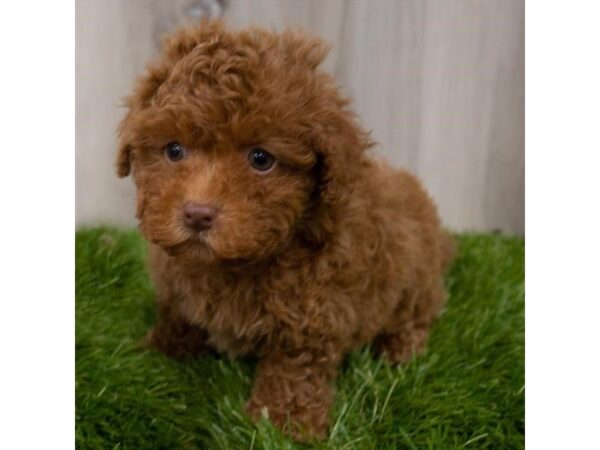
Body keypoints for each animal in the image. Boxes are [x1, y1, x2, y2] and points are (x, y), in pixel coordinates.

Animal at [116, 20, 454, 440]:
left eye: (261, 159)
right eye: (174, 150)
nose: (197, 214)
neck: (241, 261)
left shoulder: (313, 313)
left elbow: (293, 366)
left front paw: (283, 423)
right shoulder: (175, 284)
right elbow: (178, 317)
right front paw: (159, 352)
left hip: (414, 275)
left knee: (419, 314)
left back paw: (399, 349)